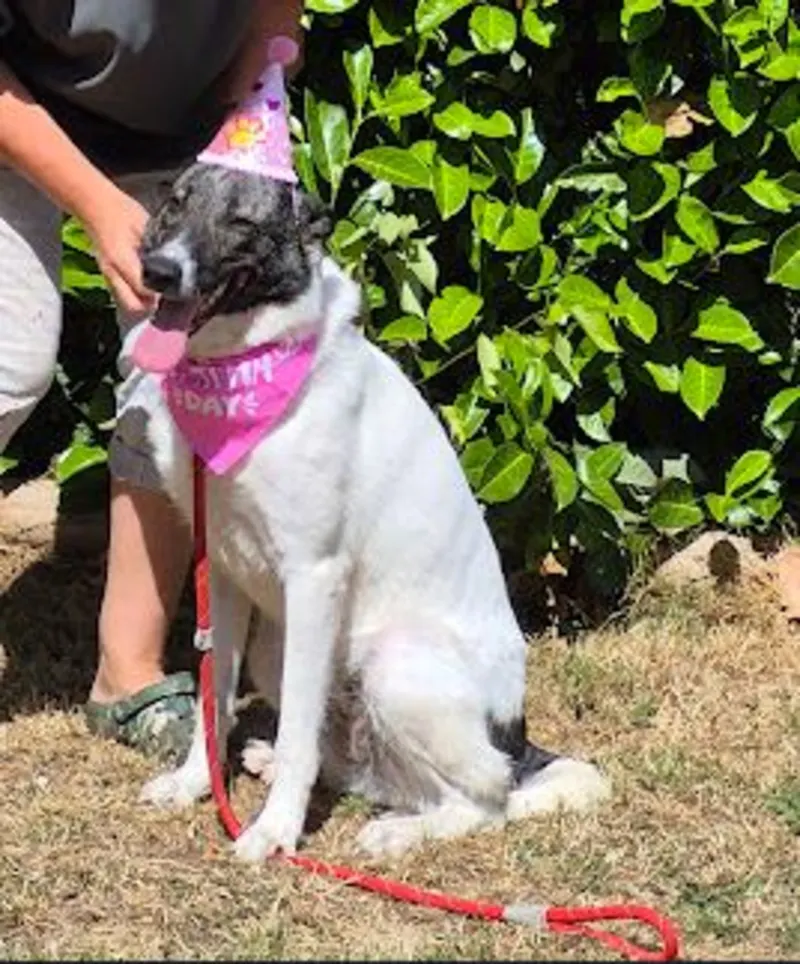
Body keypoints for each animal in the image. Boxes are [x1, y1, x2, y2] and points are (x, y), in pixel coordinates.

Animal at [134, 163, 610, 860]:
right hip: (279, 650)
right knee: (378, 772)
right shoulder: (221, 569)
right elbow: (212, 699)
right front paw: (197, 783)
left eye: (241, 222)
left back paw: (398, 830)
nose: (159, 271)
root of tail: (519, 745)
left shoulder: (313, 575)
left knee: (483, 801)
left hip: (394, 663)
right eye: (174, 204)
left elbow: (297, 734)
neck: (241, 372)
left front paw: (274, 831)